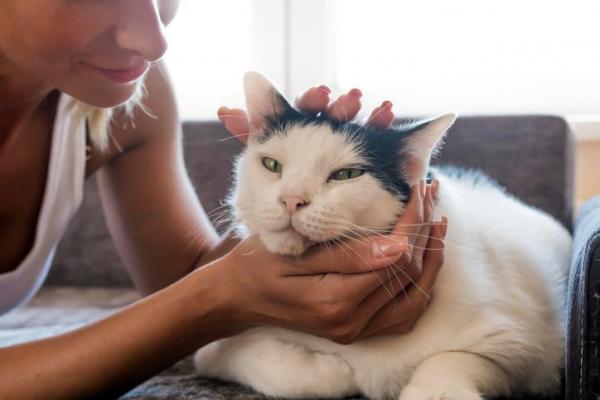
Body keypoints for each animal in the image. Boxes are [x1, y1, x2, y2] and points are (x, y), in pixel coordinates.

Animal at [193, 72, 572, 400]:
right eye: (272, 165)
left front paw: (433, 390)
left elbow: (452, 360)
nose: (290, 200)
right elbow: (264, 362)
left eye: (346, 175)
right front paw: (335, 372)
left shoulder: (523, 347)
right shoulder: (216, 344)